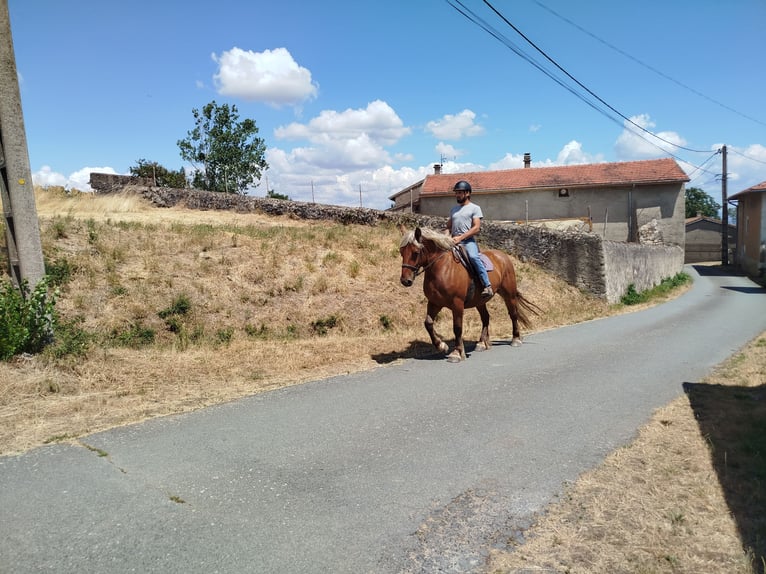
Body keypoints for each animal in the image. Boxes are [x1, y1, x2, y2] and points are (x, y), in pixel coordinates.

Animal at [399, 226, 539, 363]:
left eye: (415, 253)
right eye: (401, 252)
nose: (405, 281)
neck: (442, 268)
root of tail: (502, 256)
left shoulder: (457, 303)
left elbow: (457, 327)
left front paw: (457, 353)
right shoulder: (434, 303)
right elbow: (428, 323)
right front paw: (441, 345)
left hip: (509, 294)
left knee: (513, 314)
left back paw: (515, 339)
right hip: (480, 301)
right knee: (486, 317)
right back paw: (482, 343)